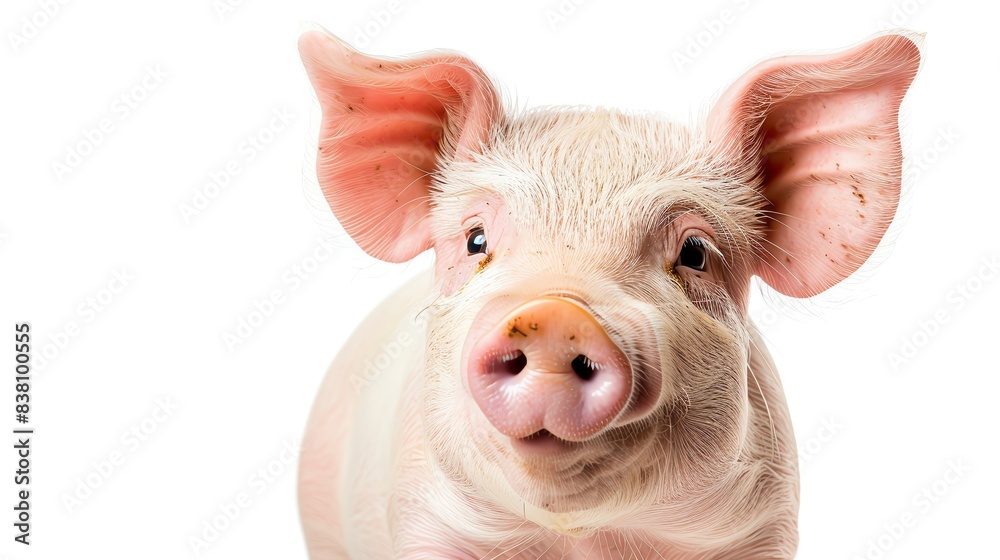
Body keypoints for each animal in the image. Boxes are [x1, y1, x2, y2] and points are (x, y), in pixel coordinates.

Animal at [295, 27, 922, 559]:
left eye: (694, 252)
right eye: (475, 240)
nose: (553, 314)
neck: (586, 536)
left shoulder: (764, 522)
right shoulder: (425, 515)